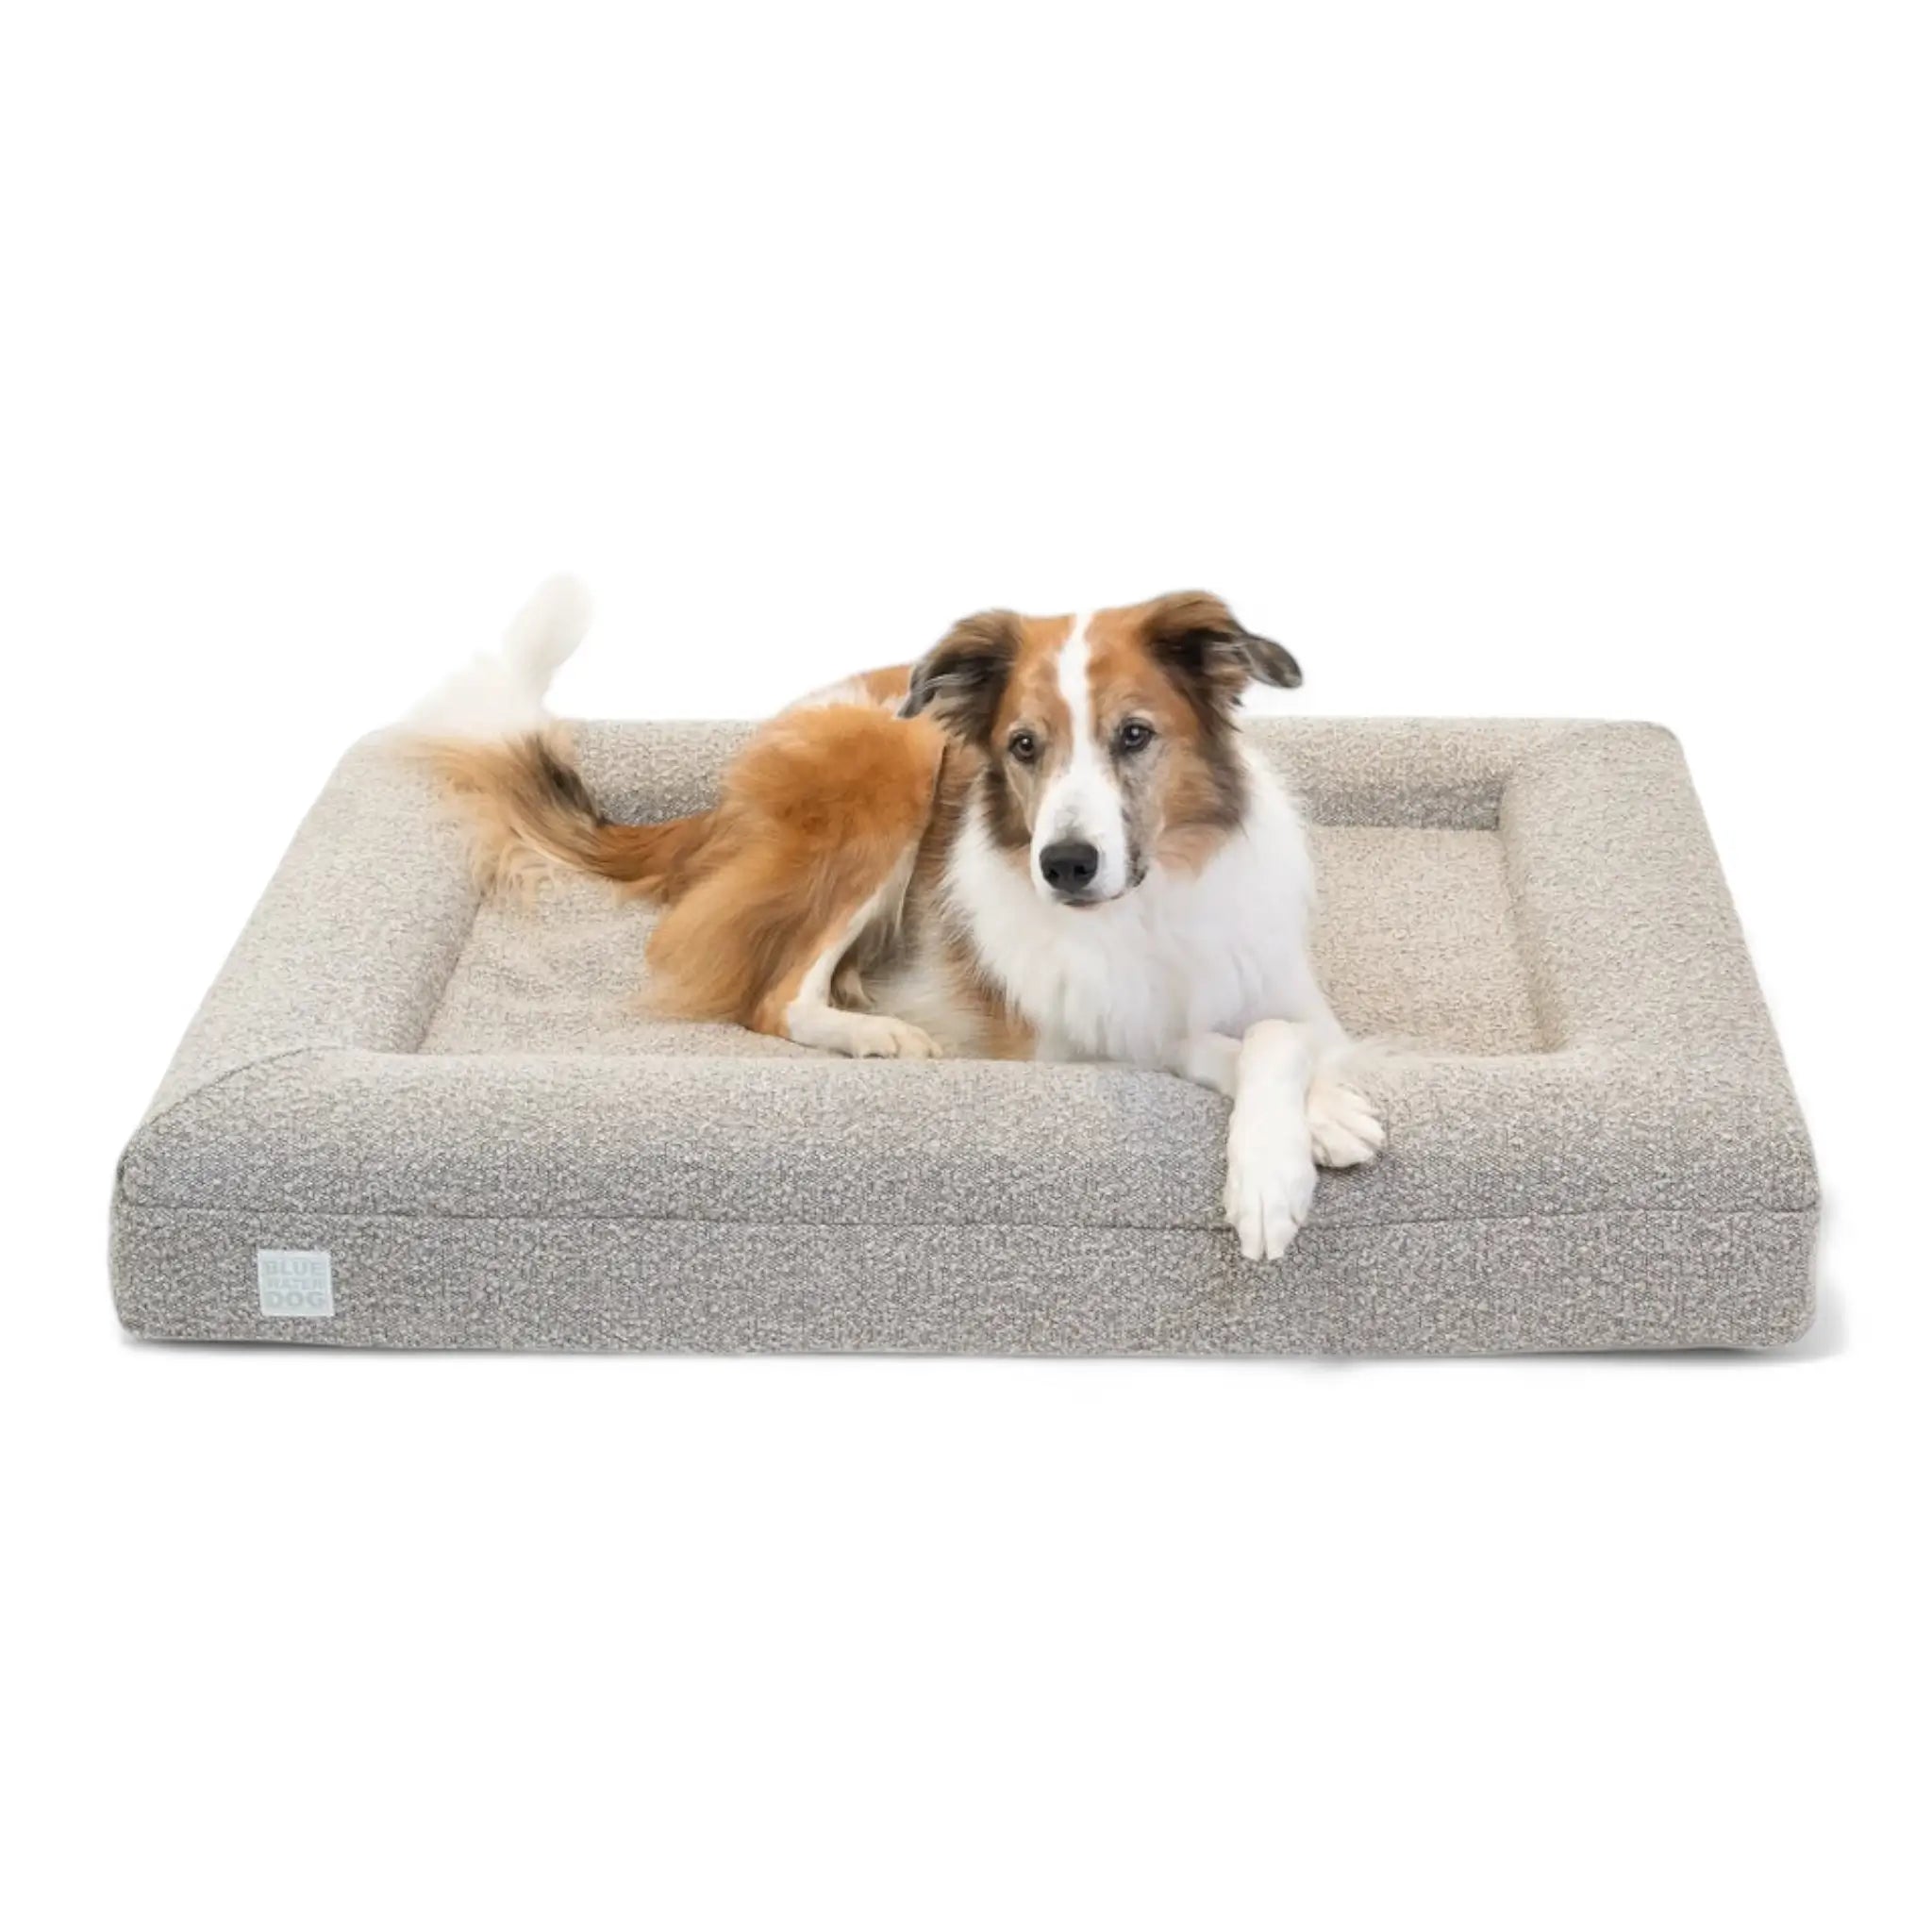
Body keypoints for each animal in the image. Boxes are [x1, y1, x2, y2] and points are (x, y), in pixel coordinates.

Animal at [411, 579, 1375, 1259]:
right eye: (1024, 747)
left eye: (1134, 735)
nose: (1063, 866)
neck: (1149, 903)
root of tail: (723, 799)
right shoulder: (1066, 1038)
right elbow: (1210, 1040)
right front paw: (1286, 1165)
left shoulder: (1290, 990)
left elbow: (1286, 1033)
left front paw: (1317, 1117)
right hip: (897, 760)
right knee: (774, 997)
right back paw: (879, 1034)